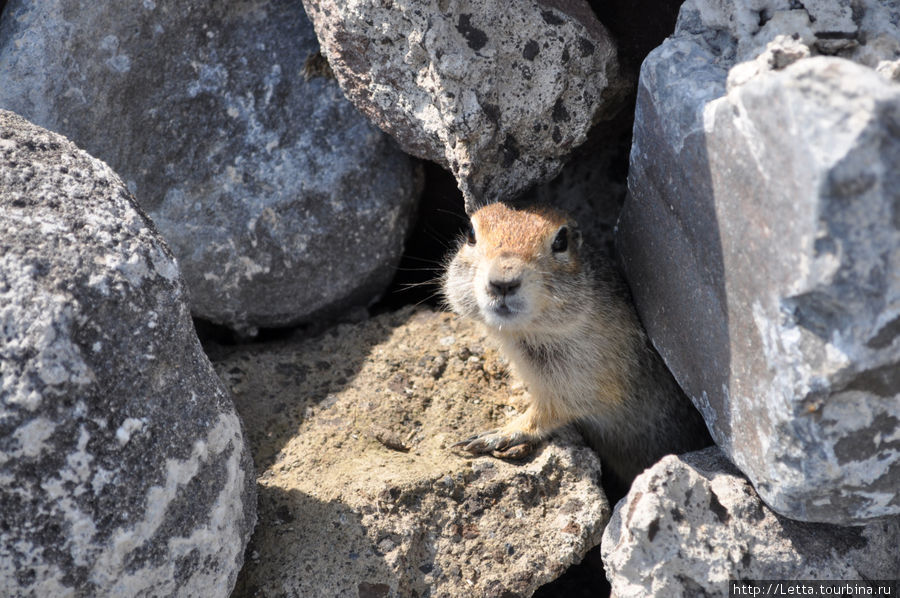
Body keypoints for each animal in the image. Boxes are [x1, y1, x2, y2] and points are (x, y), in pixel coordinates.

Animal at [442, 204, 712, 486]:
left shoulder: (586, 375)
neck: (526, 333)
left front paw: (494, 435)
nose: (503, 282)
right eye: (471, 233)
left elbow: (550, 410)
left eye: (561, 241)